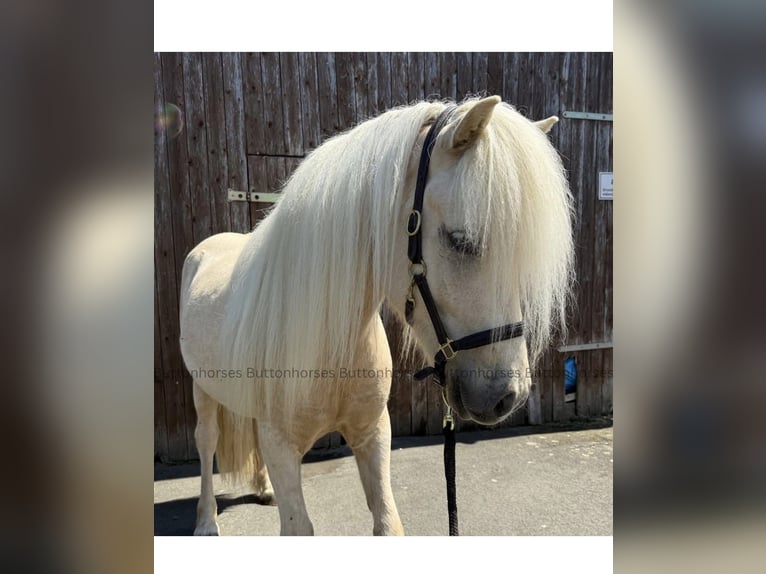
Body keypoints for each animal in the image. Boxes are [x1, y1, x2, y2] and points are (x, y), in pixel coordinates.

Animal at [178, 96, 574, 536]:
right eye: (460, 239)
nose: (508, 395)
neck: (329, 340)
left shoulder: (373, 433)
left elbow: (387, 523)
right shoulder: (281, 446)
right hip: (202, 392)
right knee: (206, 441)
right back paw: (205, 521)